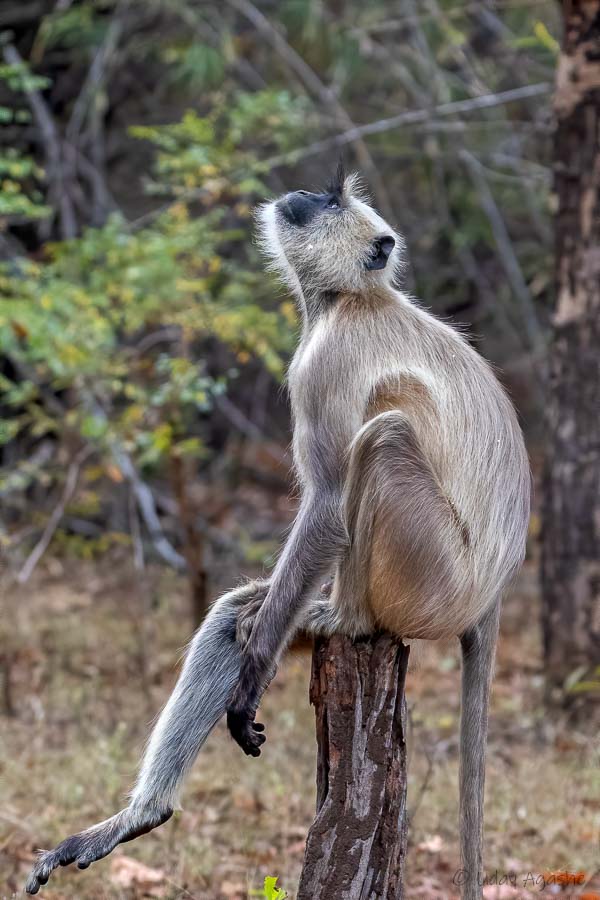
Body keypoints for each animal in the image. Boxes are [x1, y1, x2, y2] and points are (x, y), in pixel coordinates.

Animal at [24, 163, 528, 900]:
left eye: (331, 201)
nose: (305, 195)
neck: (349, 300)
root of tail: (492, 590)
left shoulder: (326, 362)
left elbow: (327, 505)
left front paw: (257, 673)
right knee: (235, 612)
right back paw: (142, 816)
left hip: (434, 577)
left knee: (382, 436)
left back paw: (345, 618)